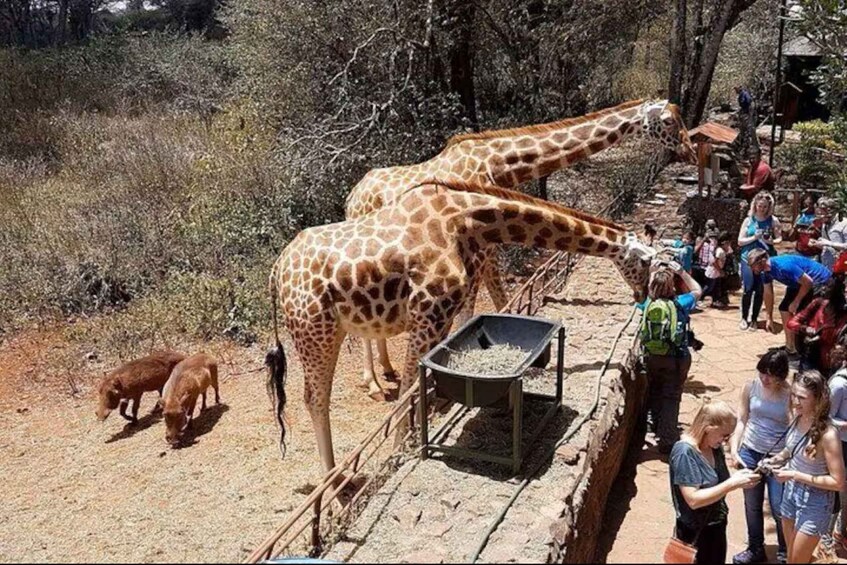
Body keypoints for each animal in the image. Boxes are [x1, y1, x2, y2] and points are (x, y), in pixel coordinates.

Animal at [266, 181, 657, 479]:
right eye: (644, 261)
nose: (643, 294)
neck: (464, 222)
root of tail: (277, 271)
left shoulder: (443, 315)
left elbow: (426, 382)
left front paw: (432, 418)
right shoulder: (427, 312)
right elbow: (408, 390)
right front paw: (400, 451)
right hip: (315, 329)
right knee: (314, 399)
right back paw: (335, 483)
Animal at [346, 99, 696, 397]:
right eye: (668, 121)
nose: (691, 151)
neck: (500, 164)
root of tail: (353, 195)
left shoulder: (487, 246)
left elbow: (497, 300)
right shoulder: (476, 249)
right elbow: (476, 305)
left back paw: (387, 369)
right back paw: (372, 382)